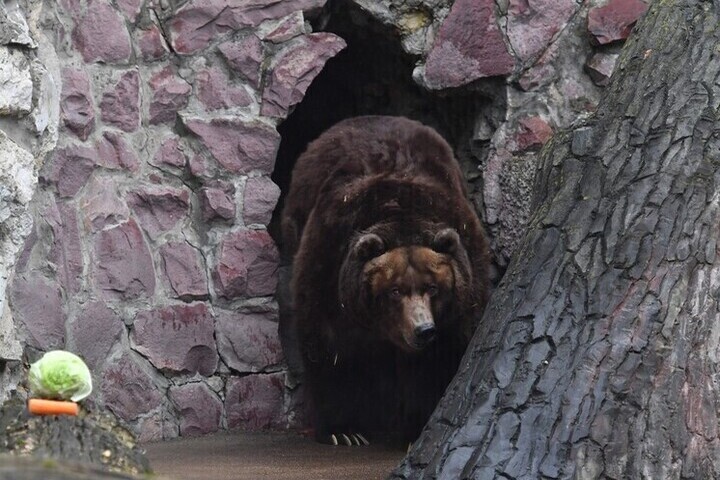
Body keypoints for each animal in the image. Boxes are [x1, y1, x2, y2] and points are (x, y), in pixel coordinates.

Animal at [280, 115, 490, 446]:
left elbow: (444, 355)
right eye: (394, 290)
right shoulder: (329, 263)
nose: (423, 330)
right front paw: (344, 430)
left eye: (433, 287)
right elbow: (329, 348)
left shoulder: (463, 284)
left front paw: (420, 420)